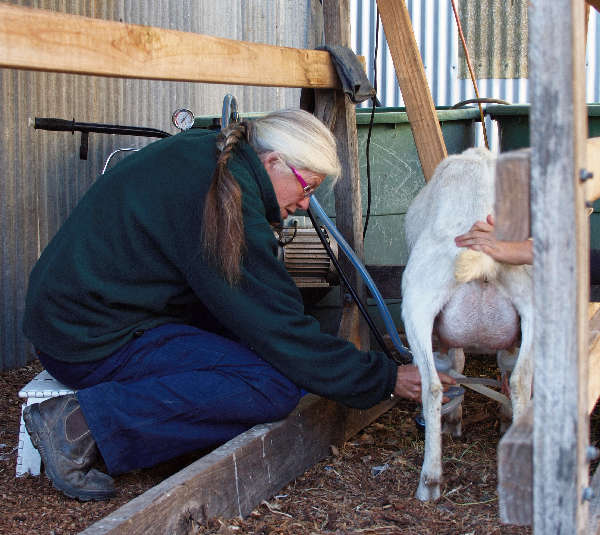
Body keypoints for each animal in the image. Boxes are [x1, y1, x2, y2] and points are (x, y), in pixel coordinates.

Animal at [400, 148, 532, 502]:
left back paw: (430, 481)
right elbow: (505, 365)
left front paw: (455, 419)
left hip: (417, 303)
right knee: (521, 380)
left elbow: (454, 364)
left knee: (432, 385)